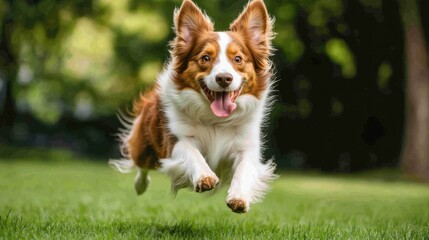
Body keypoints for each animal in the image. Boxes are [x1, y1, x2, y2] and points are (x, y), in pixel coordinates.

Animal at [110, 0, 276, 214]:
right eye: (205, 58)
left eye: (238, 59)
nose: (224, 78)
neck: (215, 120)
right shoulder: (176, 140)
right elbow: (192, 153)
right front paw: (205, 177)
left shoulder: (245, 146)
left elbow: (244, 168)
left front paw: (239, 197)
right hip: (144, 144)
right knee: (142, 165)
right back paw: (140, 186)